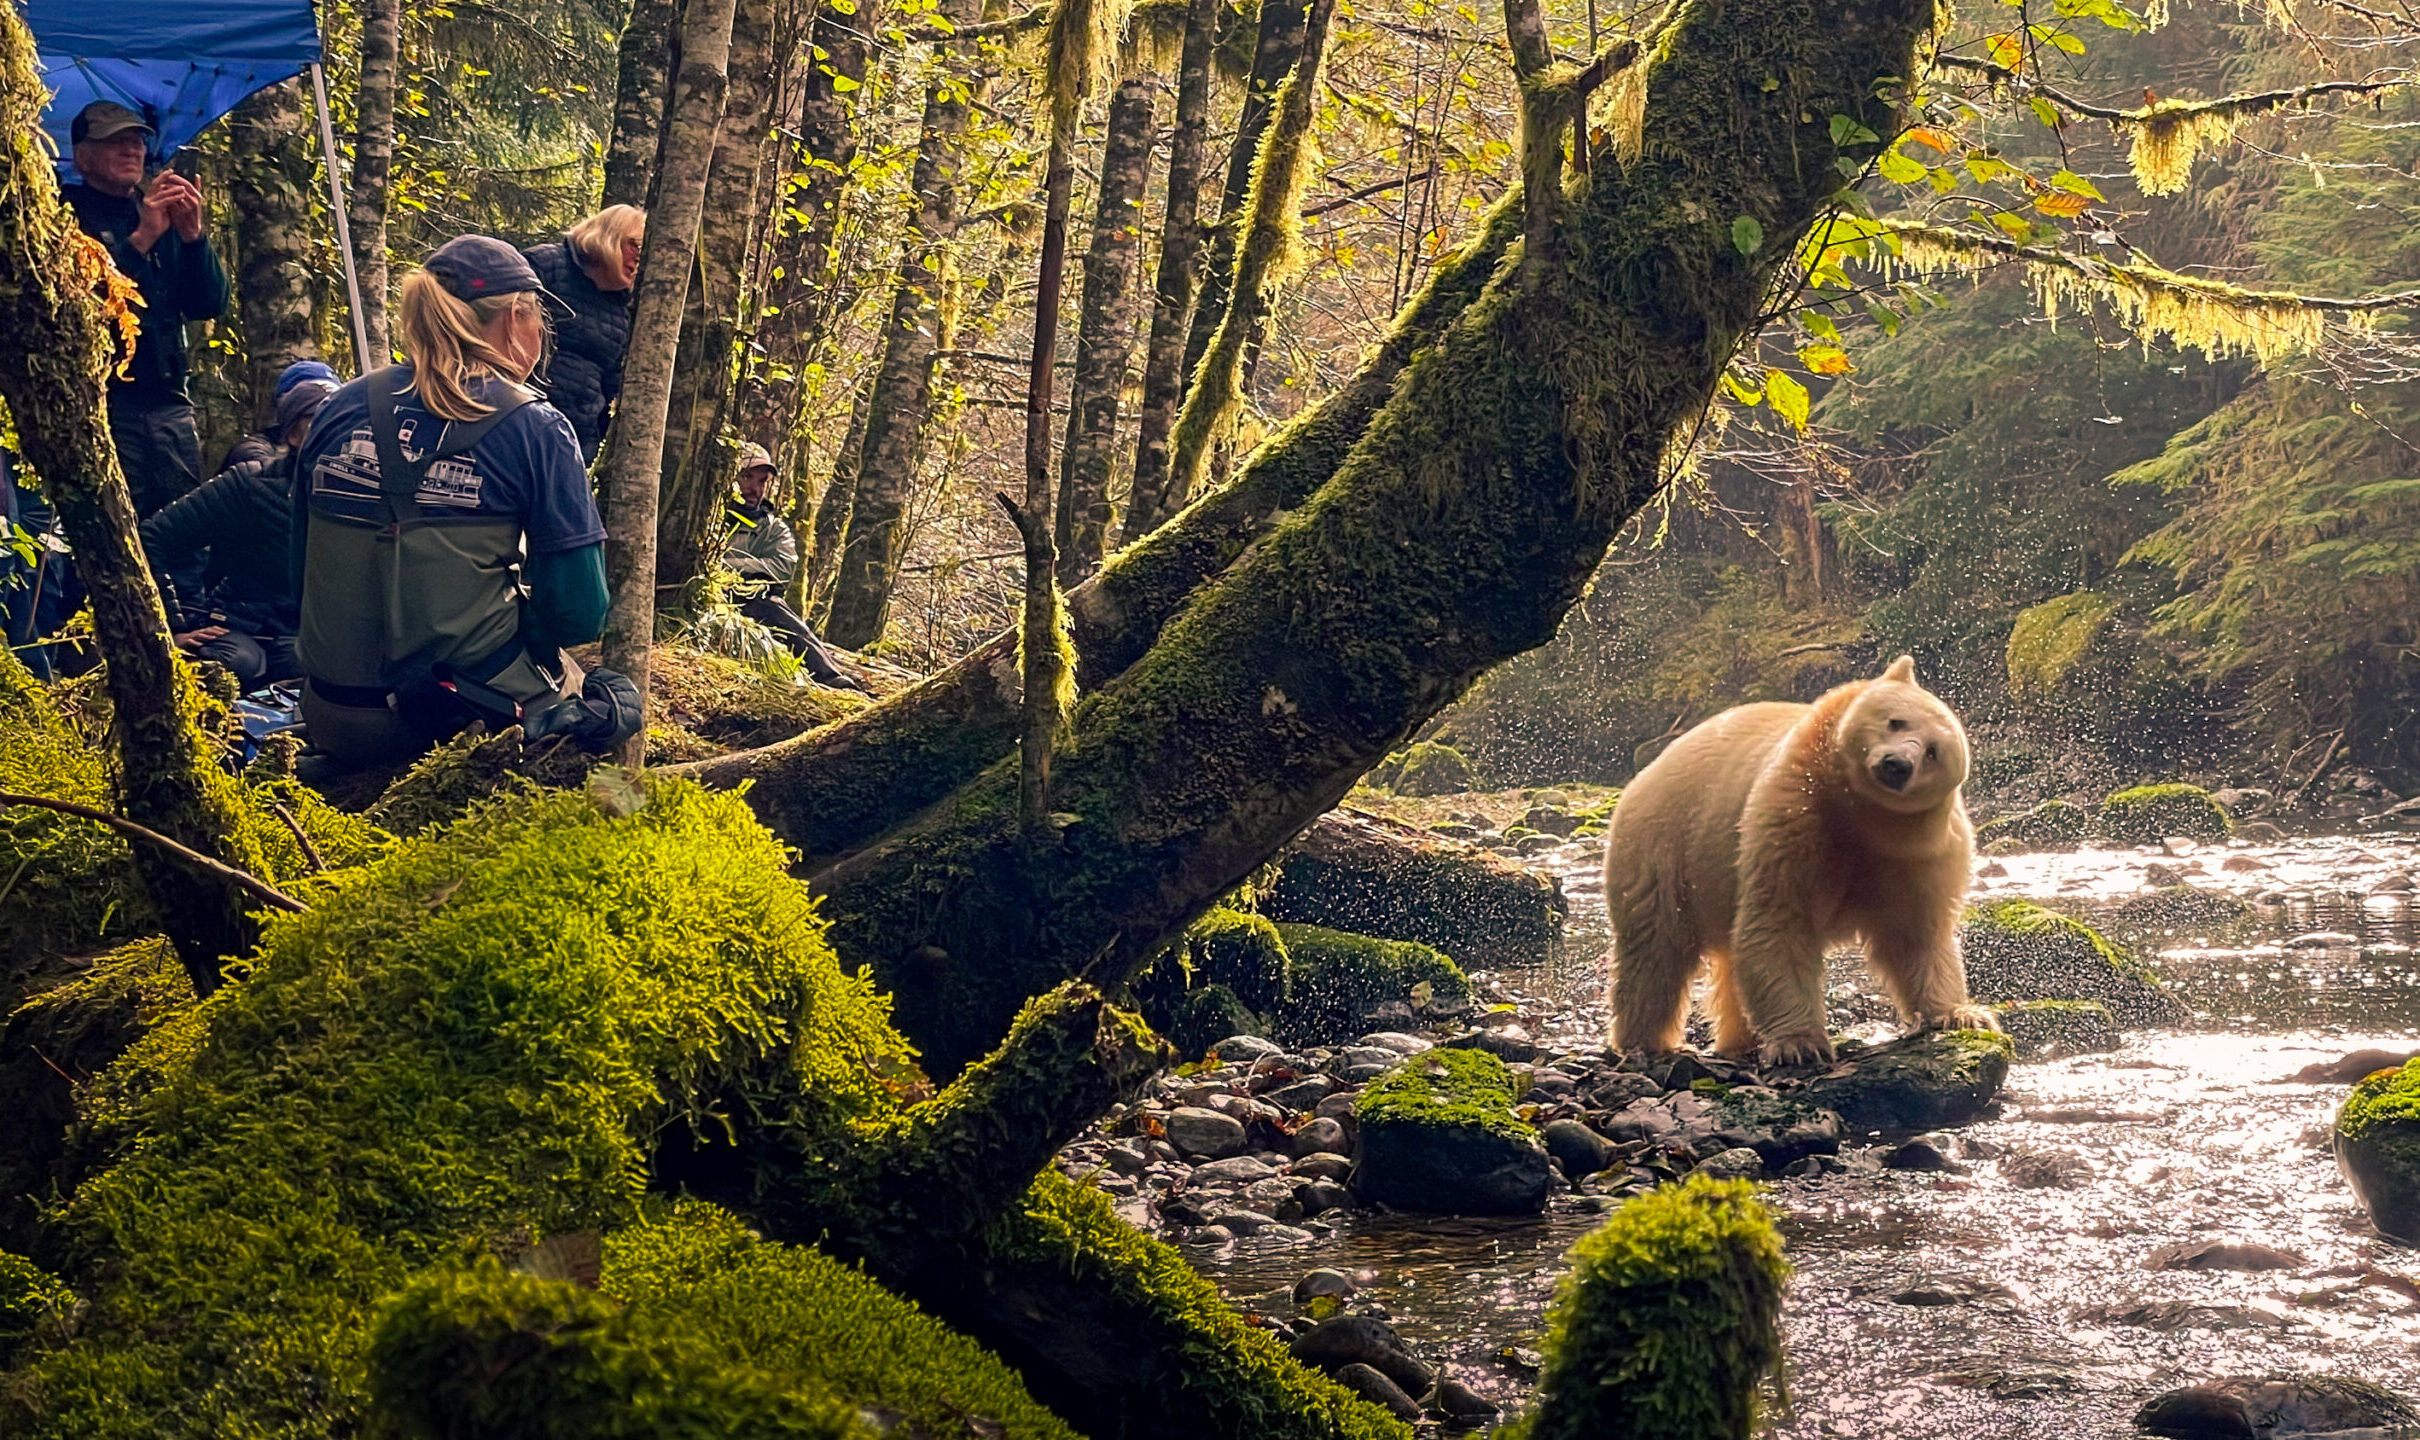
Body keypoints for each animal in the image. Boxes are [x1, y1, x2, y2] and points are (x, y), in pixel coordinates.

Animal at [1602, 655, 1998, 1066]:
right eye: (1896, 721)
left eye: (1932, 751)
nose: (1897, 764)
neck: (1863, 816)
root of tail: (1652, 767)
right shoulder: (1794, 813)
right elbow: (1780, 922)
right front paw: (1800, 1043)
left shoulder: (1919, 852)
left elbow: (1915, 934)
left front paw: (1961, 1013)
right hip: (1665, 846)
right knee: (1655, 947)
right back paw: (1648, 1042)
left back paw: (1736, 1040)